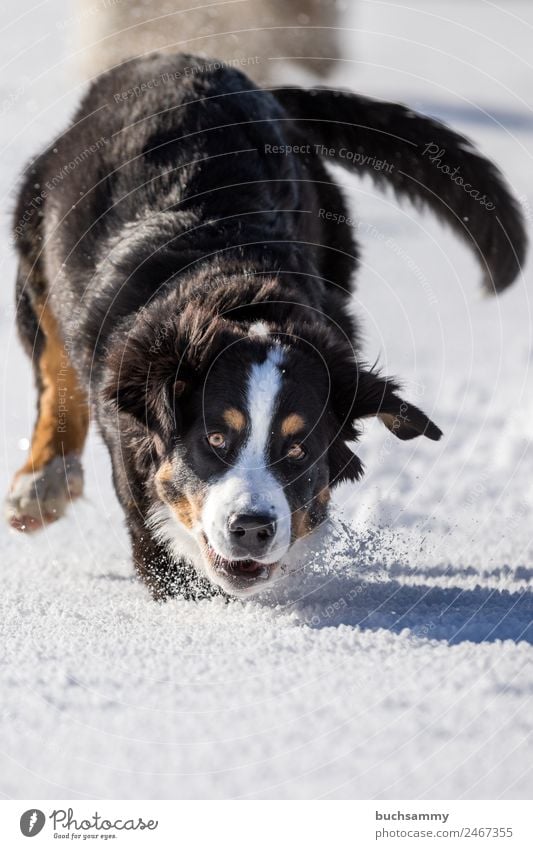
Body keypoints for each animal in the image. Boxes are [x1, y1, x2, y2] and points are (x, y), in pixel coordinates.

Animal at [6, 51, 524, 596]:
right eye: (215, 440)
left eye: (297, 449)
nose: (252, 528)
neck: (238, 292)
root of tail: (185, 59)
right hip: (35, 242)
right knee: (52, 368)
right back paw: (42, 483)